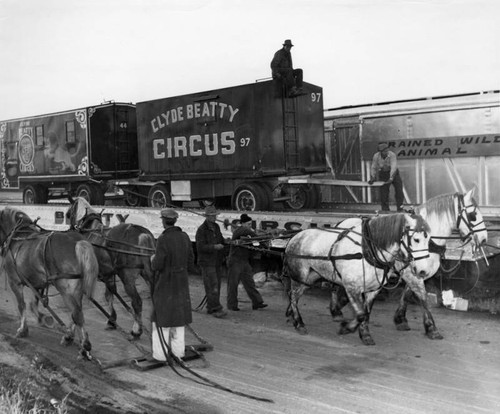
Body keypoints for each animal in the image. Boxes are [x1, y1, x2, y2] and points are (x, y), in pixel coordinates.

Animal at [0, 206, 98, 356]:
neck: (17, 237)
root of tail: (77, 241)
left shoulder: (14, 282)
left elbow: (21, 305)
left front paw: (23, 330)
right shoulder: (37, 281)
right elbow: (34, 302)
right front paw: (43, 318)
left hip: (65, 288)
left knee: (76, 313)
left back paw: (84, 345)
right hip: (76, 288)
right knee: (76, 312)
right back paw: (70, 337)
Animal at [66, 196, 155, 338]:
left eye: (70, 212)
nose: (68, 216)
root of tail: (142, 234)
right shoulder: (108, 274)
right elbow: (109, 294)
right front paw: (112, 319)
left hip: (127, 277)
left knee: (137, 302)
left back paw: (136, 330)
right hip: (148, 275)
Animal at [284, 212, 432, 344]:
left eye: (429, 239)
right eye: (416, 239)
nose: (423, 271)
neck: (367, 251)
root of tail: (295, 237)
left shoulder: (373, 290)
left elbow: (366, 312)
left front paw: (365, 335)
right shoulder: (352, 287)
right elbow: (361, 314)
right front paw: (346, 328)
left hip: (311, 277)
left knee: (294, 295)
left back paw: (291, 314)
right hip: (299, 275)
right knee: (293, 295)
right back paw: (299, 323)